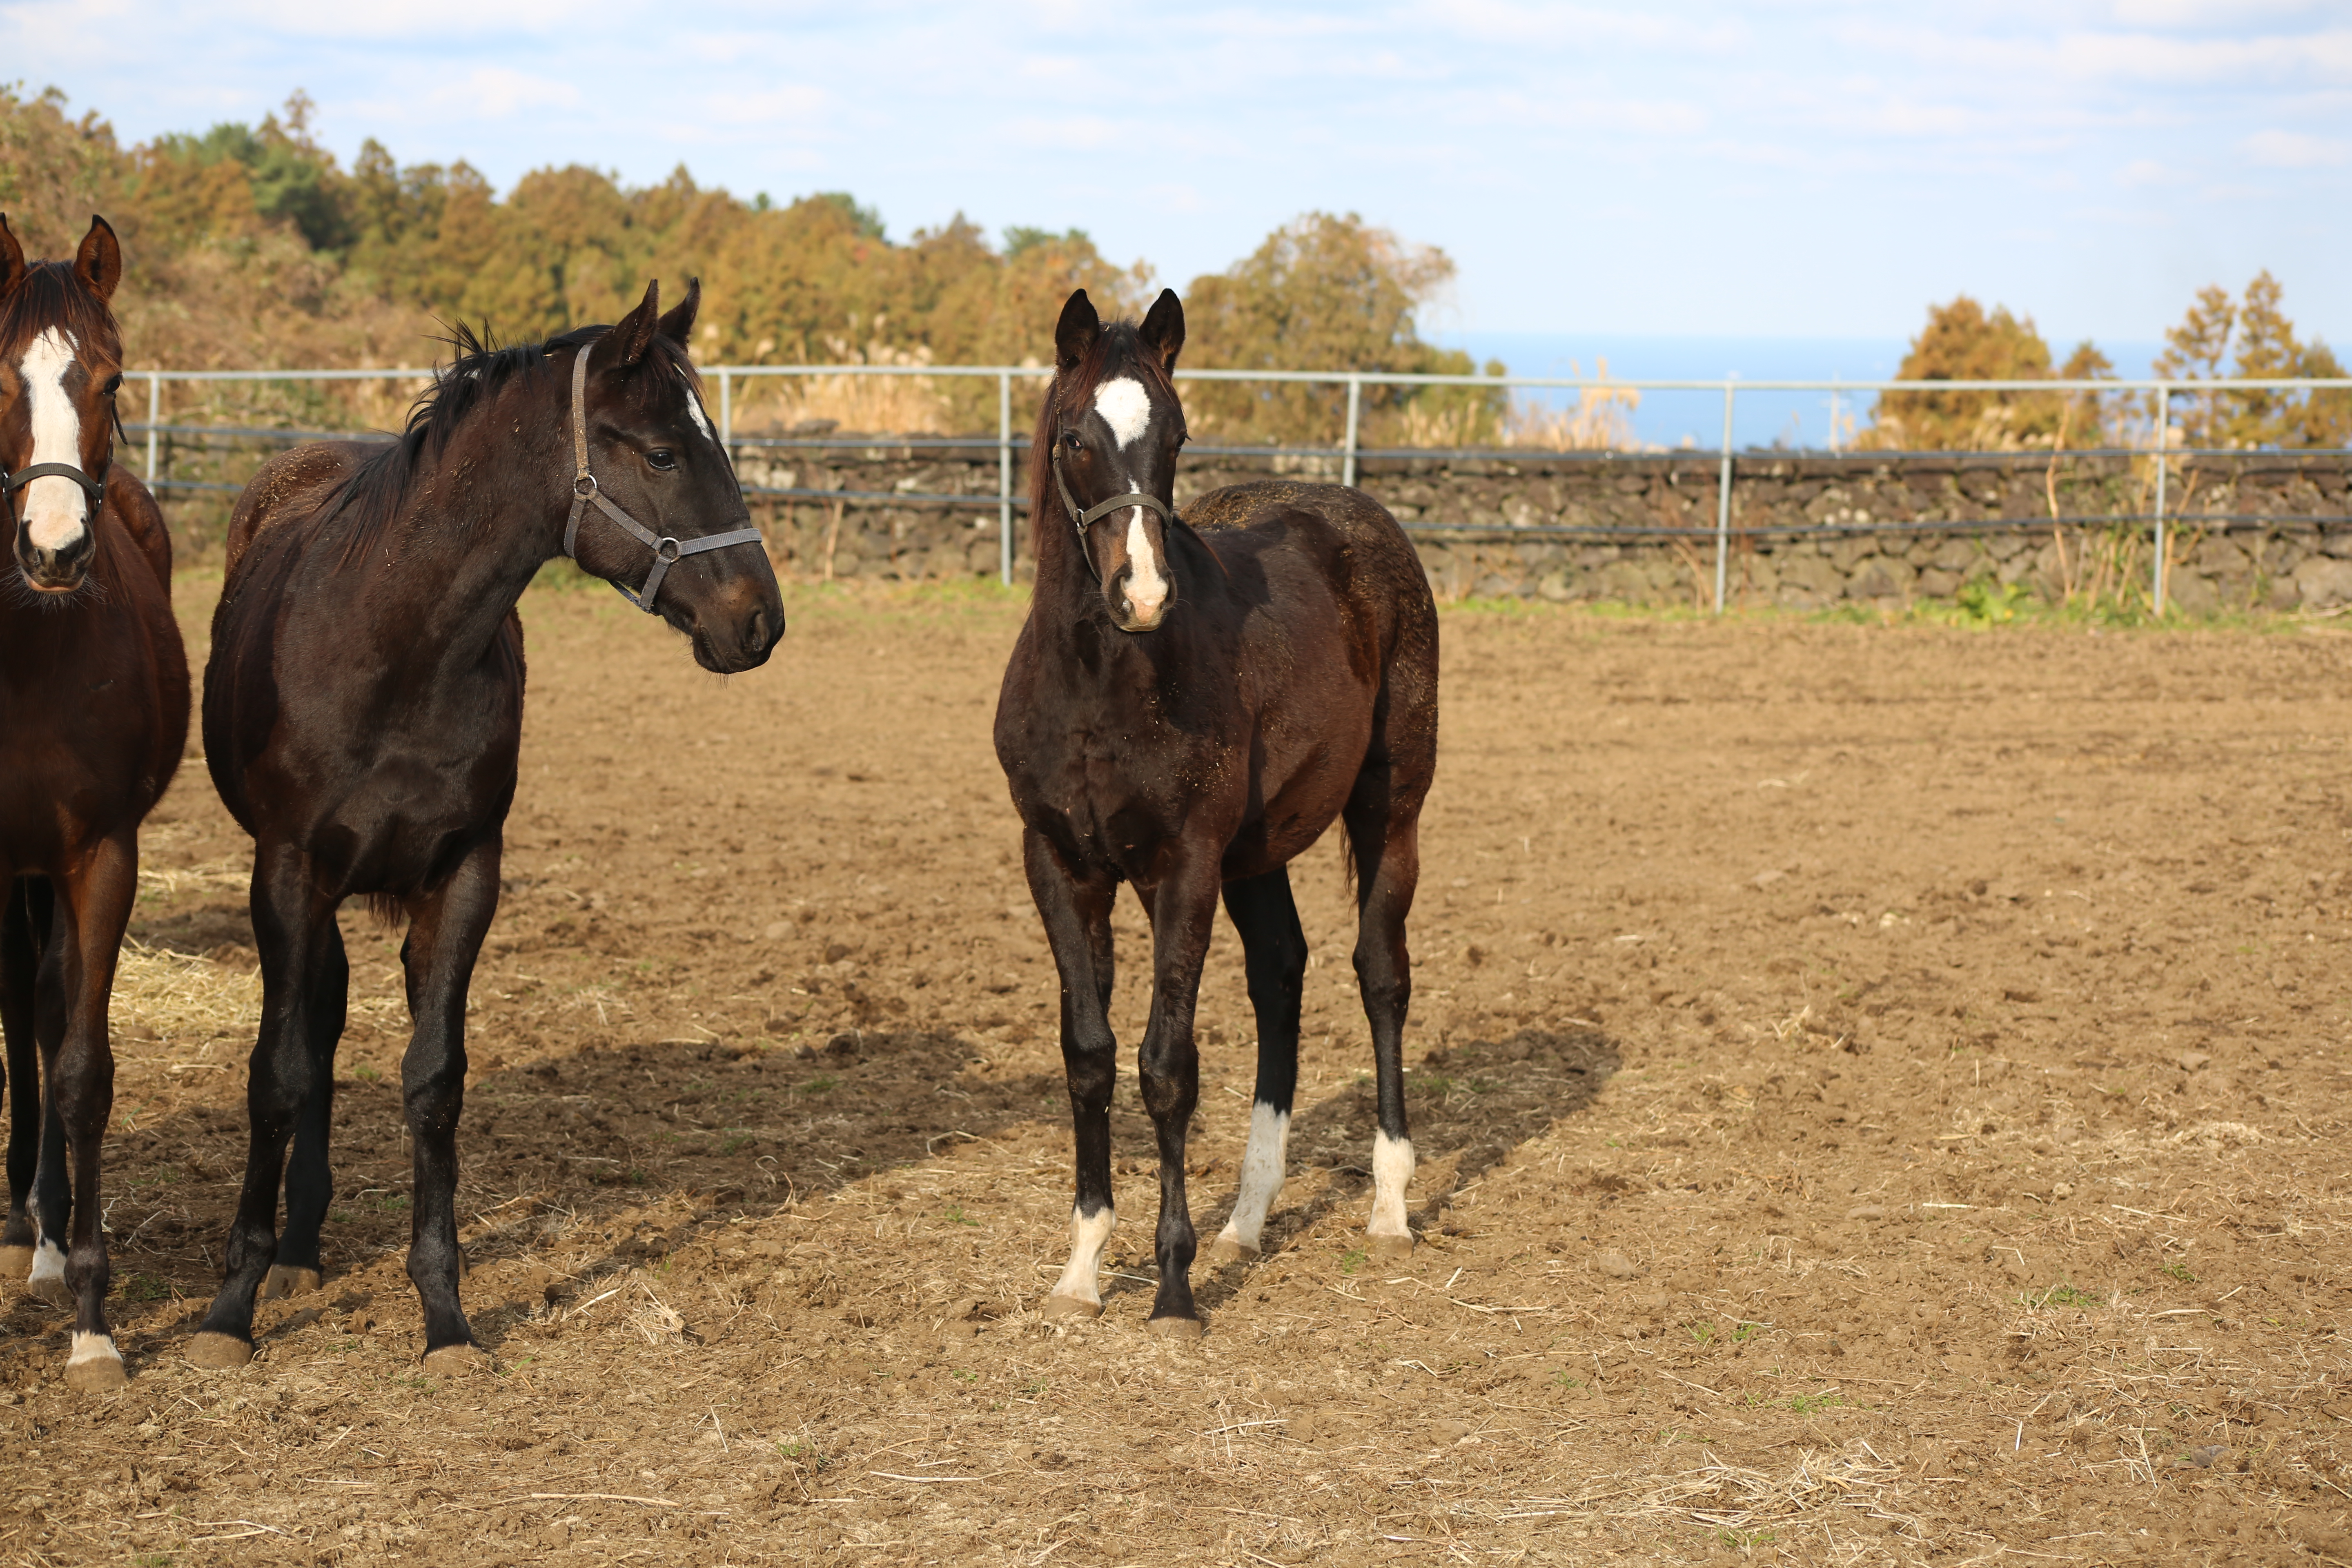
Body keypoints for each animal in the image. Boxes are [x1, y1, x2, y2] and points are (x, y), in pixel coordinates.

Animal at [190, 282, 781, 1373]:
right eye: (663, 453)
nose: (760, 620)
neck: (395, 646)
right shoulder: (285, 874)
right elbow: (278, 1073)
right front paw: (229, 1307)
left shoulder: (464, 877)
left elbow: (434, 1079)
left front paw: (445, 1315)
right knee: (313, 1030)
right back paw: (288, 1252)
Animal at [992, 288, 1430, 1335]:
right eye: (1075, 439)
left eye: (1176, 436)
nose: (1143, 594)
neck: (1099, 685)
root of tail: (1362, 517)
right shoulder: (1060, 864)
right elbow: (1088, 1055)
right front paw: (1082, 1267)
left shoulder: (1180, 867)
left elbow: (1165, 1065)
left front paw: (1173, 1285)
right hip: (1256, 853)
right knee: (1281, 973)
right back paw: (1248, 1216)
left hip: (1389, 807)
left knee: (1380, 973)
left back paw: (1389, 1203)